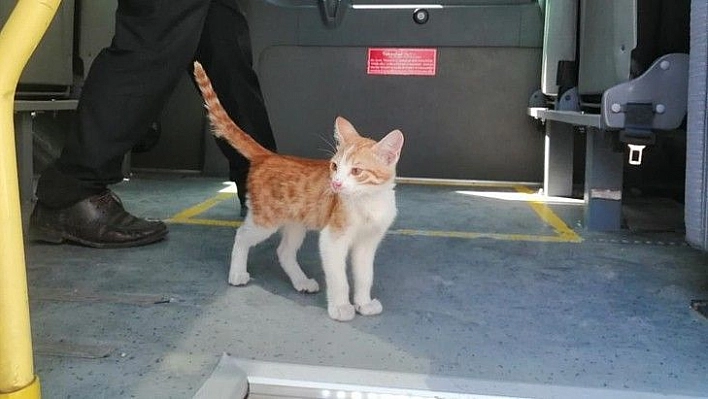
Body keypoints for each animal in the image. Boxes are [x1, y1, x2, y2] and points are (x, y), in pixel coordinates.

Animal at [194, 61, 404, 322]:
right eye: (334, 166)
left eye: (356, 171)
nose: (336, 184)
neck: (368, 202)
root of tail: (269, 156)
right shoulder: (332, 240)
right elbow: (339, 279)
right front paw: (340, 307)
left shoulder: (367, 243)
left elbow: (365, 276)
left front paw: (363, 304)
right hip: (265, 220)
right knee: (241, 235)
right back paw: (237, 274)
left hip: (296, 223)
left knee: (284, 251)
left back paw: (301, 282)